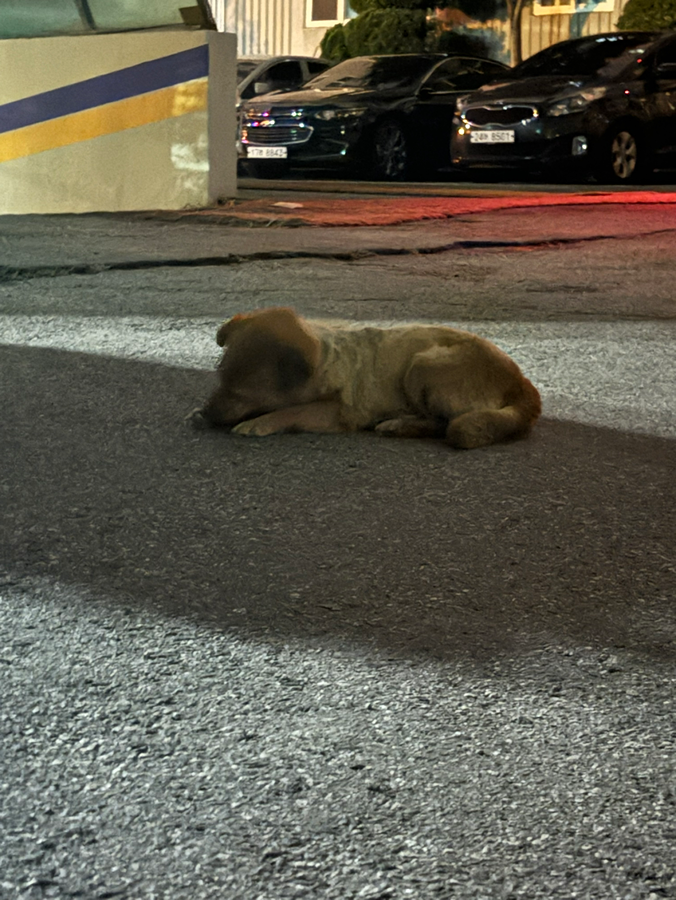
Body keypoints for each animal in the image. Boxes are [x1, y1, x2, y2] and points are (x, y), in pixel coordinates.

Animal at [193, 310, 540, 450]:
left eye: (241, 393)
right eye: (220, 380)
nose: (207, 414)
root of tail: (521, 381)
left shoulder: (338, 412)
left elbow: (291, 410)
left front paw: (259, 422)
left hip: (423, 364)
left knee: (445, 422)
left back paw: (400, 425)